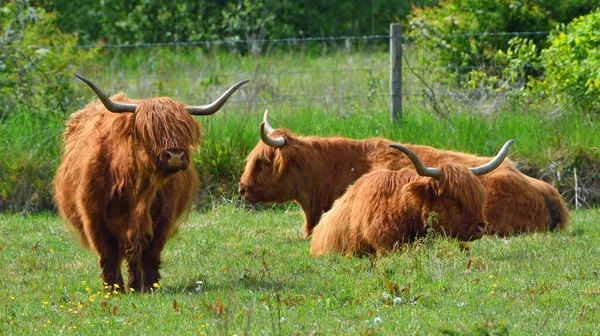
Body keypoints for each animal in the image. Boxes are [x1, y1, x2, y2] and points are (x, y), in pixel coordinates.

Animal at [54, 75, 246, 292]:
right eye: (149, 131)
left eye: (183, 130)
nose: (175, 156)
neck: (136, 188)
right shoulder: (93, 216)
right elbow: (108, 254)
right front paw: (113, 289)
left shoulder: (163, 217)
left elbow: (150, 252)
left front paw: (149, 287)